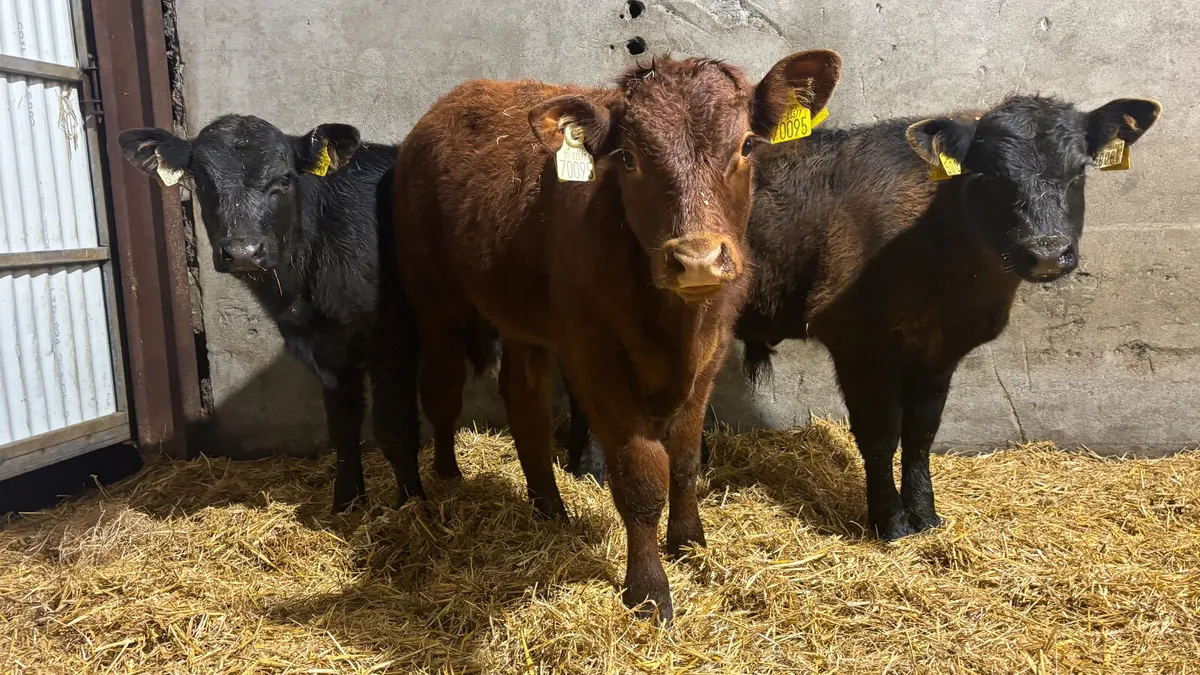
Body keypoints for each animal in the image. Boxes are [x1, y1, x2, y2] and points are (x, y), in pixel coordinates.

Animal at [118, 116, 477, 513]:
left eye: (284, 179)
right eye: (202, 181)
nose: (243, 252)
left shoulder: (391, 344)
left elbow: (395, 430)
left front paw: (411, 506)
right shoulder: (327, 353)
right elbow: (343, 430)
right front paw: (345, 505)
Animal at [392, 51, 843, 623]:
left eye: (745, 145)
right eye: (628, 158)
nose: (697, 258)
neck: (677, 328)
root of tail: (454, 99)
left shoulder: (712, 352)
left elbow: (686, 459)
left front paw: (689, 542)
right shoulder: (595, 358)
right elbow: (641, 475)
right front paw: (648, 590)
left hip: (525, 319)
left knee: (524, 399)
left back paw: (550, 508)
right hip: (435, 299)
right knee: (443, 389)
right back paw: (447, 478)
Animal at [566, 94, 1161, 542]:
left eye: (1078, 171)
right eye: (990, 174)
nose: (1046, 252)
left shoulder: (939, 352)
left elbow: (920, 434)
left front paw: (925, 514)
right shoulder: (857, 343)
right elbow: (878, 434)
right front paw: (890, 522)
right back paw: (588, 466)